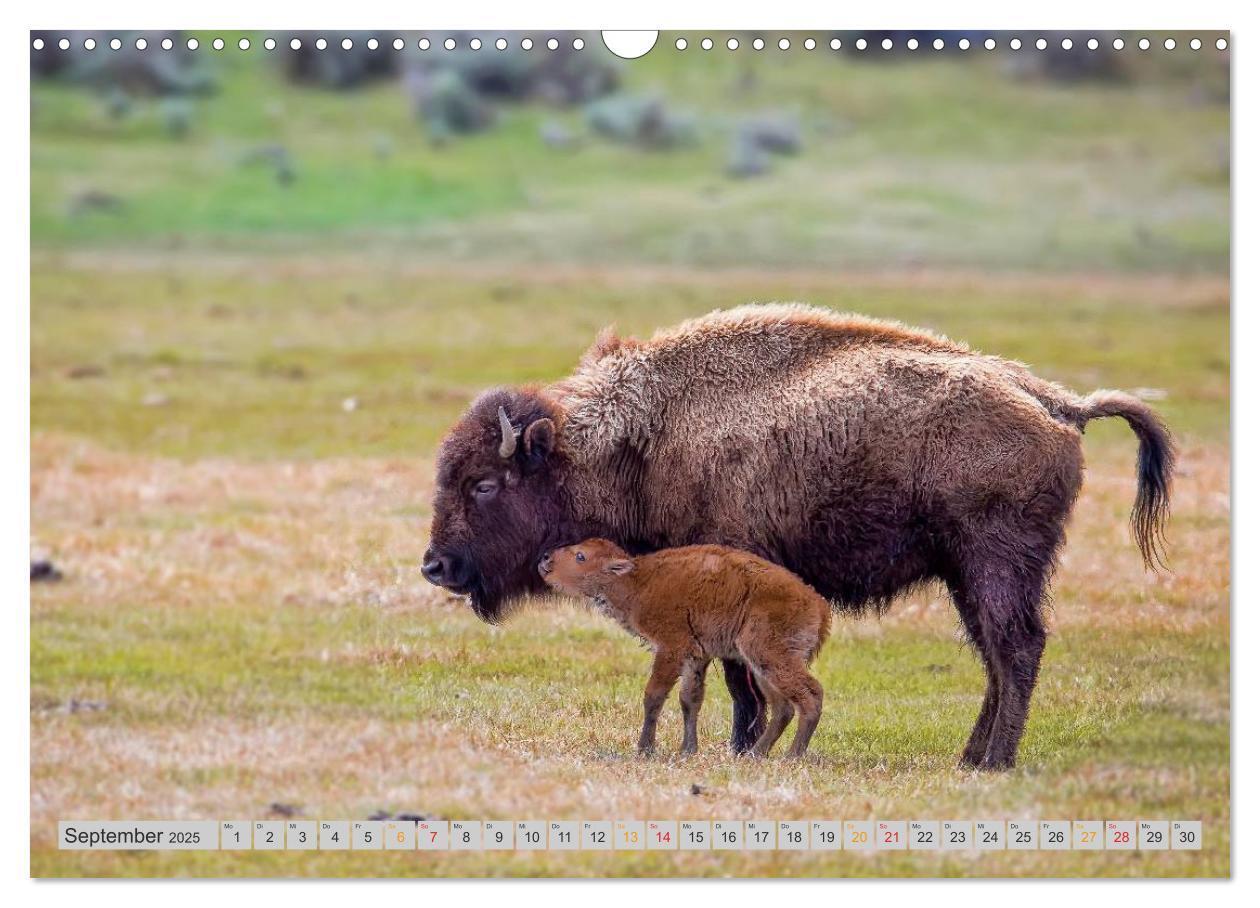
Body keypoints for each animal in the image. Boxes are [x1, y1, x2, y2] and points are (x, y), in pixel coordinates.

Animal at [536, 539, 831, 755]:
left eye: (581, 556)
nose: (545, 558)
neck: (637, 581)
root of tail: (818, 605)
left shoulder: (670, 649)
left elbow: (654, 695)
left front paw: (645, 749)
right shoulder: (695, 656)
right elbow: (690, 700)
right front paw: (688, 750)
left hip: (772, 657)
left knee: (811, 694)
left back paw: (792, 755)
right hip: (761, 666)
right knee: (783, 707)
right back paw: (755, 754)